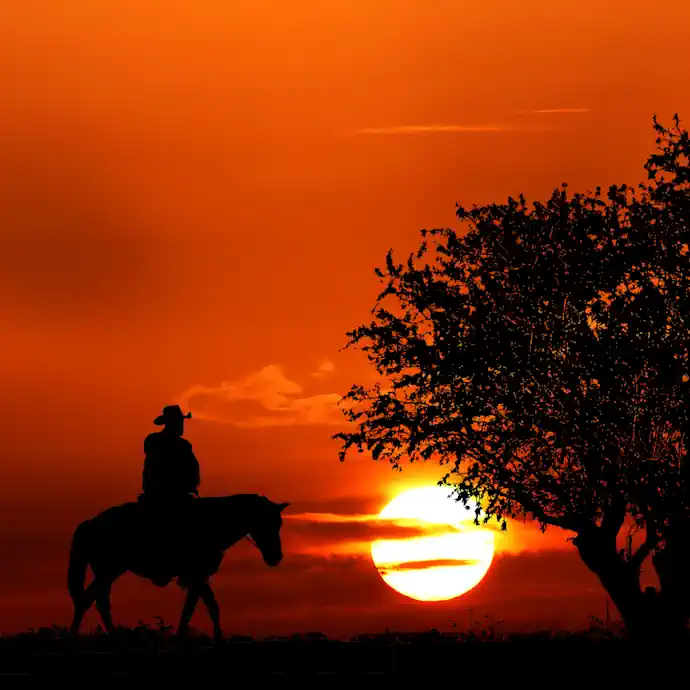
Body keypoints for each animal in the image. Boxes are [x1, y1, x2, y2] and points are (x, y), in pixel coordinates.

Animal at [67, 492, 288, 644]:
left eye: (279, 524)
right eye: (267, 523)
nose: (276, 557)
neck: (212, 522)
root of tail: (92, 523)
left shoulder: (199, 577)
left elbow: (205, 606)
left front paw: (213, 639)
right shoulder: (196, 575)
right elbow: (195, 608)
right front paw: (193, 638)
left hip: (107, 573)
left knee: (99, 602)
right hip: (108, 571)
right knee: (88, 601)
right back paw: (80, 639)